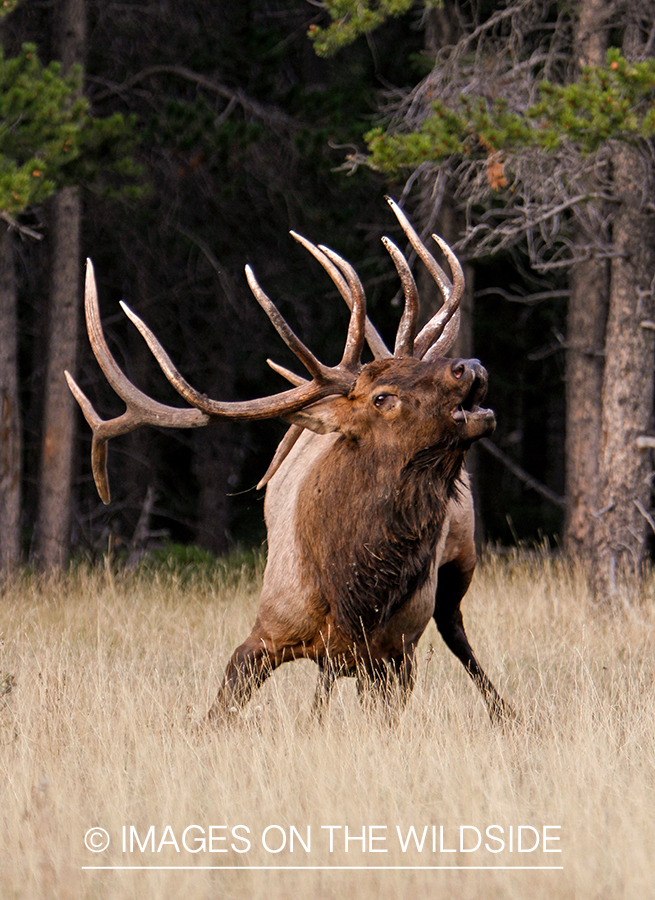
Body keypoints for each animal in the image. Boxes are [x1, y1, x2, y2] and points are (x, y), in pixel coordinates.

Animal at [69, 199, 516, 724]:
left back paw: (505, 712)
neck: (354, 595)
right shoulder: (270, 628)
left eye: (423, 366)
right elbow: (221, 709)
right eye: (382, 397)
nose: (470, 366)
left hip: (460, 561)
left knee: (457, 633)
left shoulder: (397, 649)